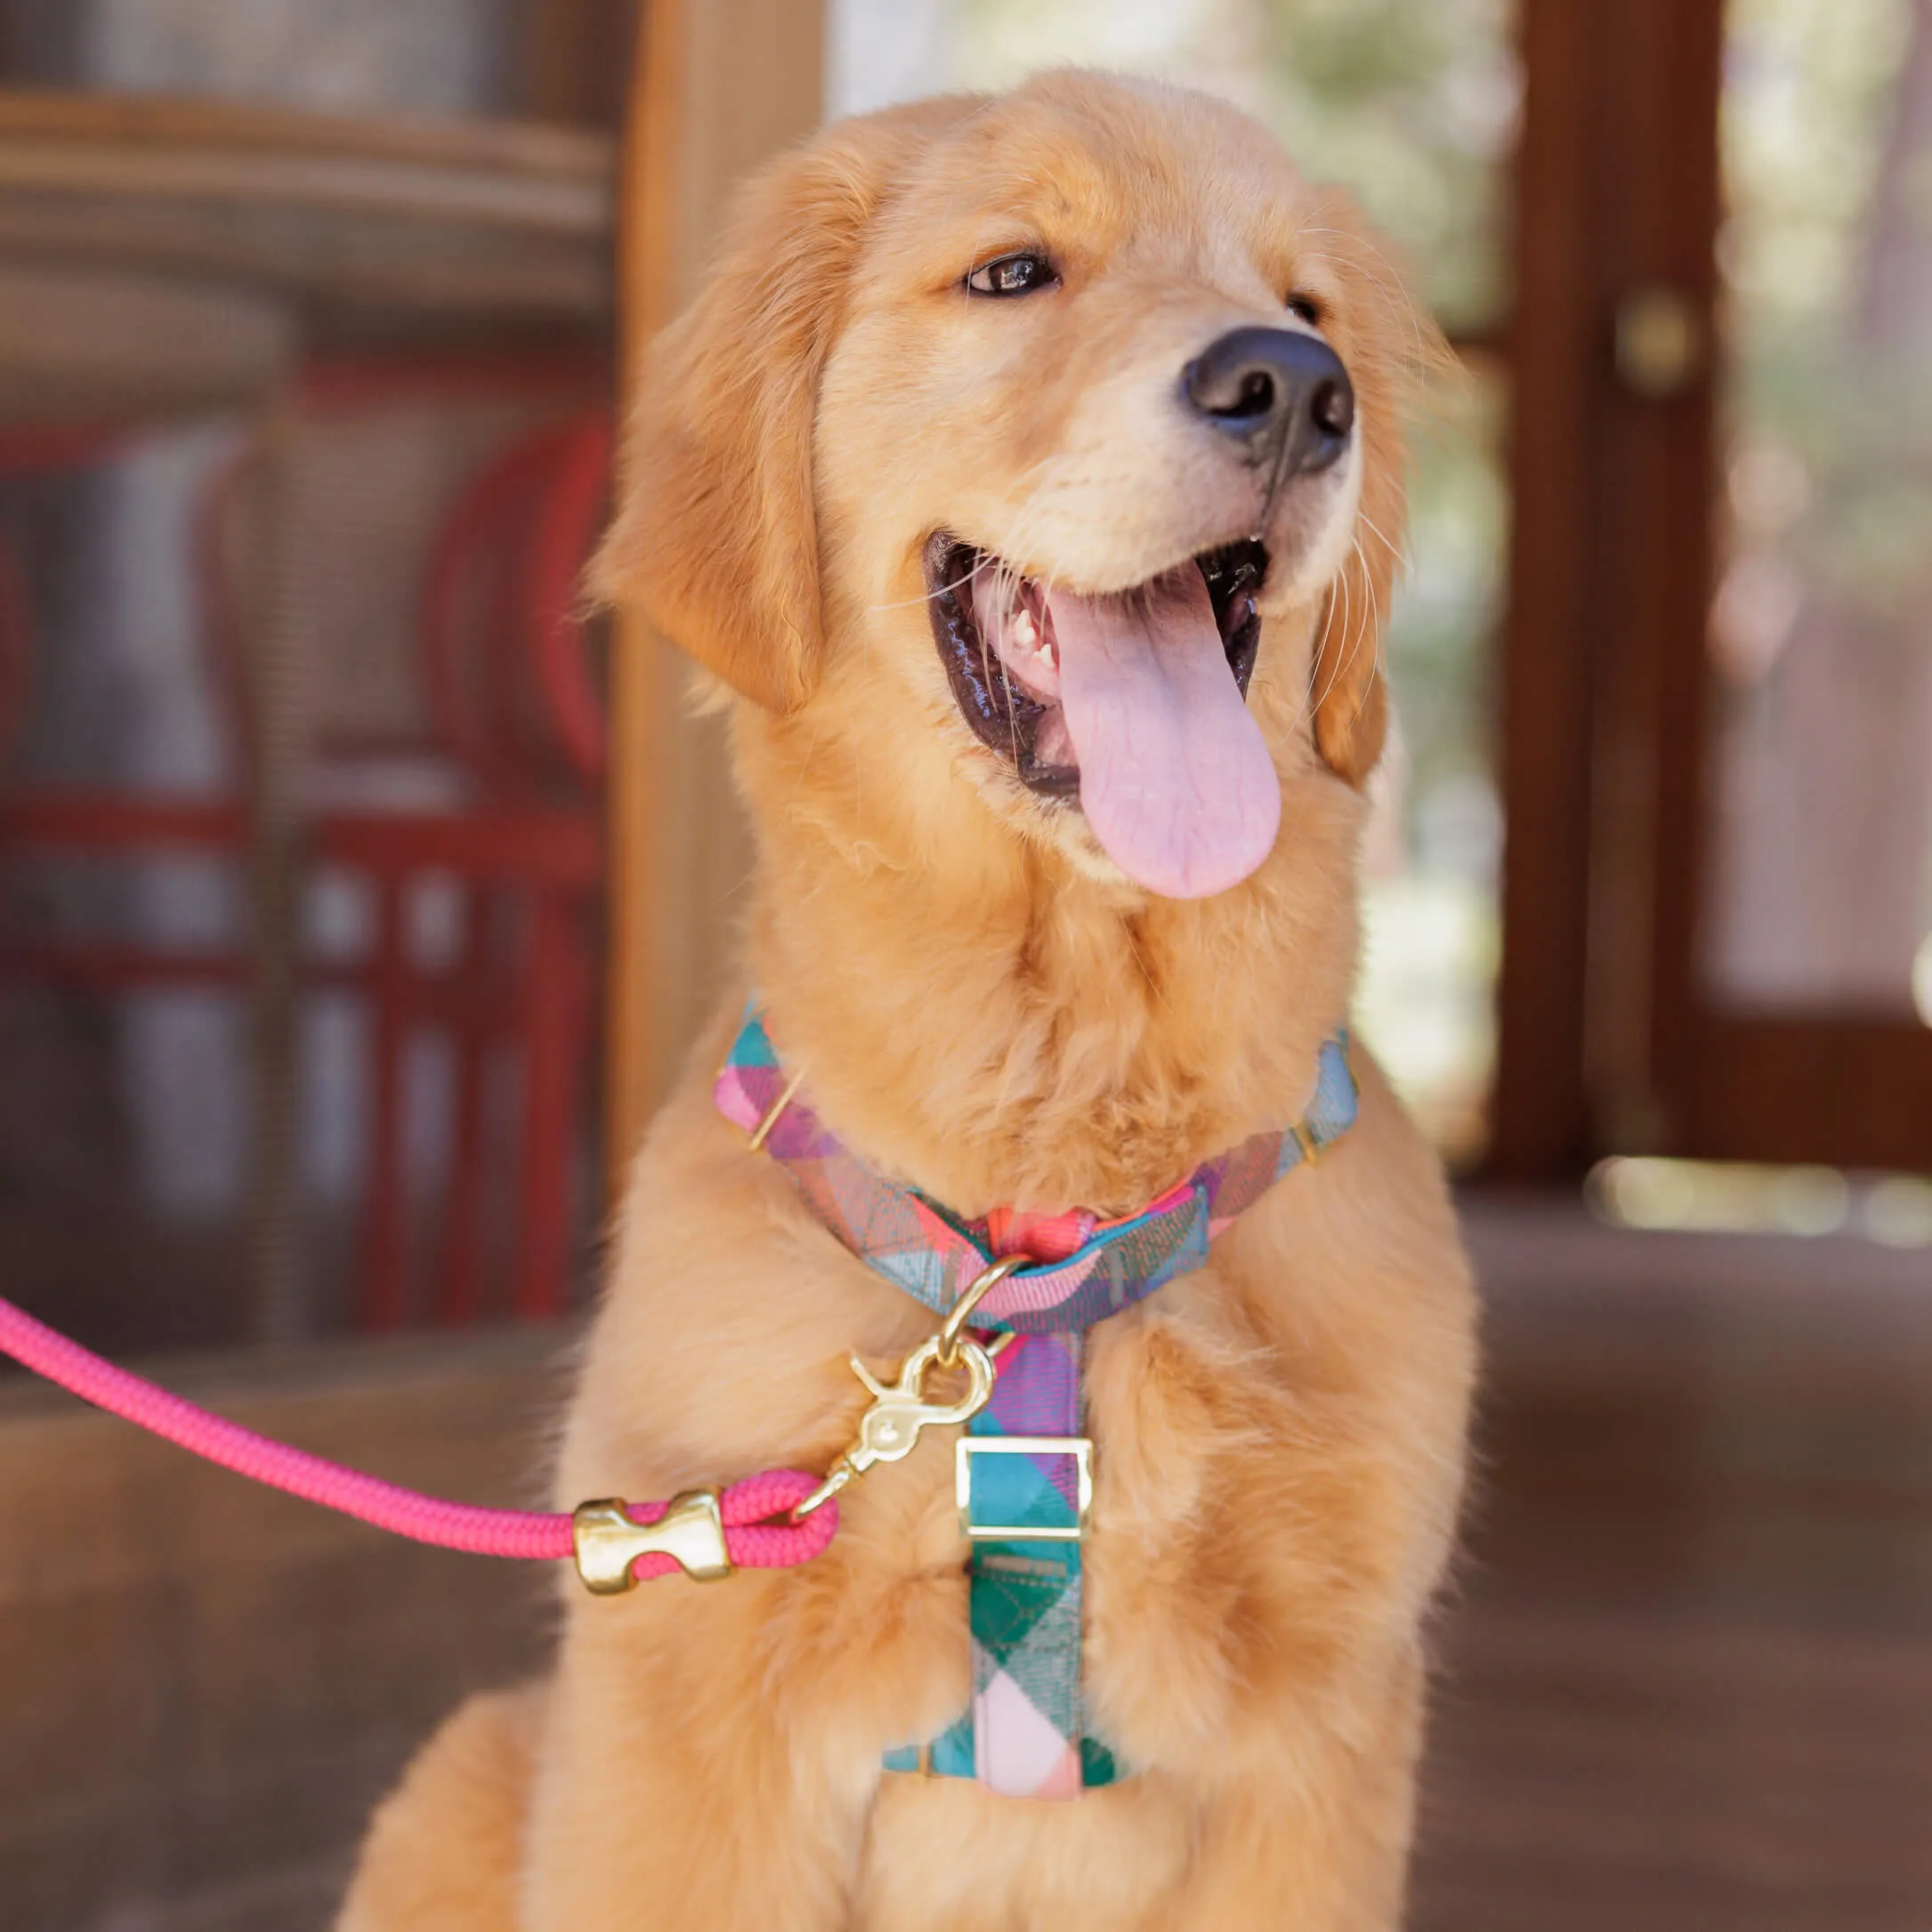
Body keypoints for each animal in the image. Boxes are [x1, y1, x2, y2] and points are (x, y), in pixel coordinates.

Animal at [335, 68, 1475, 1924]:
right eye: (1013, 273)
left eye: (1309, 309)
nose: (1296, 390)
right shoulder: (682, 1718)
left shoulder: (1321, 1744)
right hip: (471, 1765)